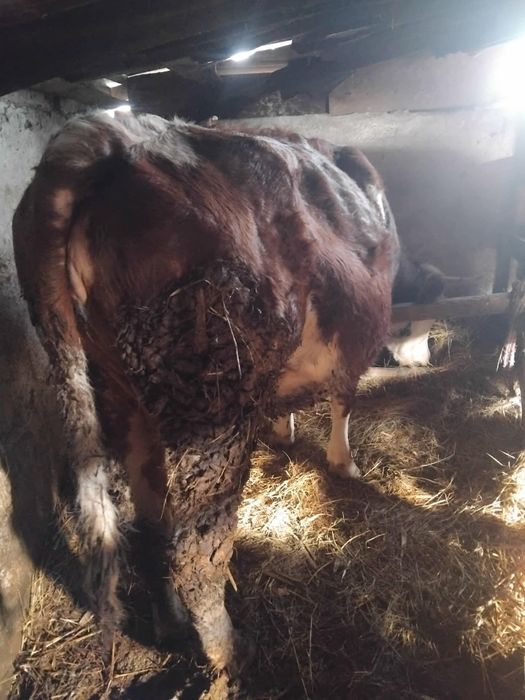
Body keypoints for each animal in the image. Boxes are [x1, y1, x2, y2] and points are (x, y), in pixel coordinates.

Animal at [12, 112, 399, 675]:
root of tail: (97, 137)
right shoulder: (357, 333)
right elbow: (344, 399)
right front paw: (343, 463)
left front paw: (286, 432)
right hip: (214, 398)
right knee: (198, 549)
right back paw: (226, 650)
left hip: (117, 391)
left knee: (152, 527)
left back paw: (171, 627)